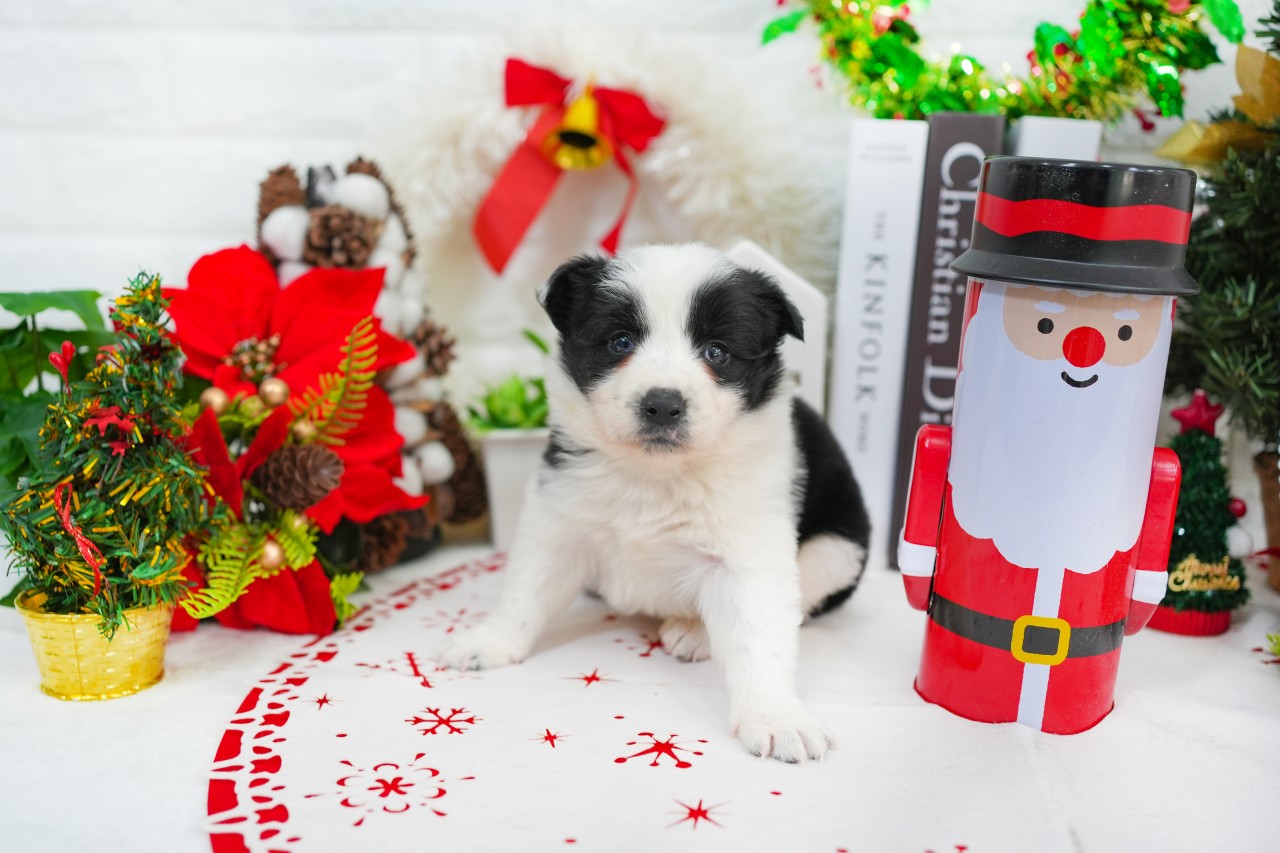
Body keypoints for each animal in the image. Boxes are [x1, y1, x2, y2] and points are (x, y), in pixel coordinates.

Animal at [439, 244, 870, 762]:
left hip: (837, 551)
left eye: (717, 351)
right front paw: (491, 641)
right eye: (620, 342)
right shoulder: (557, 517)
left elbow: (758, 636)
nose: (663, 404)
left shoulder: (751, 548)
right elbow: (526, 591)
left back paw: (695, 631)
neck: (655, 474)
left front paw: (776, 718)